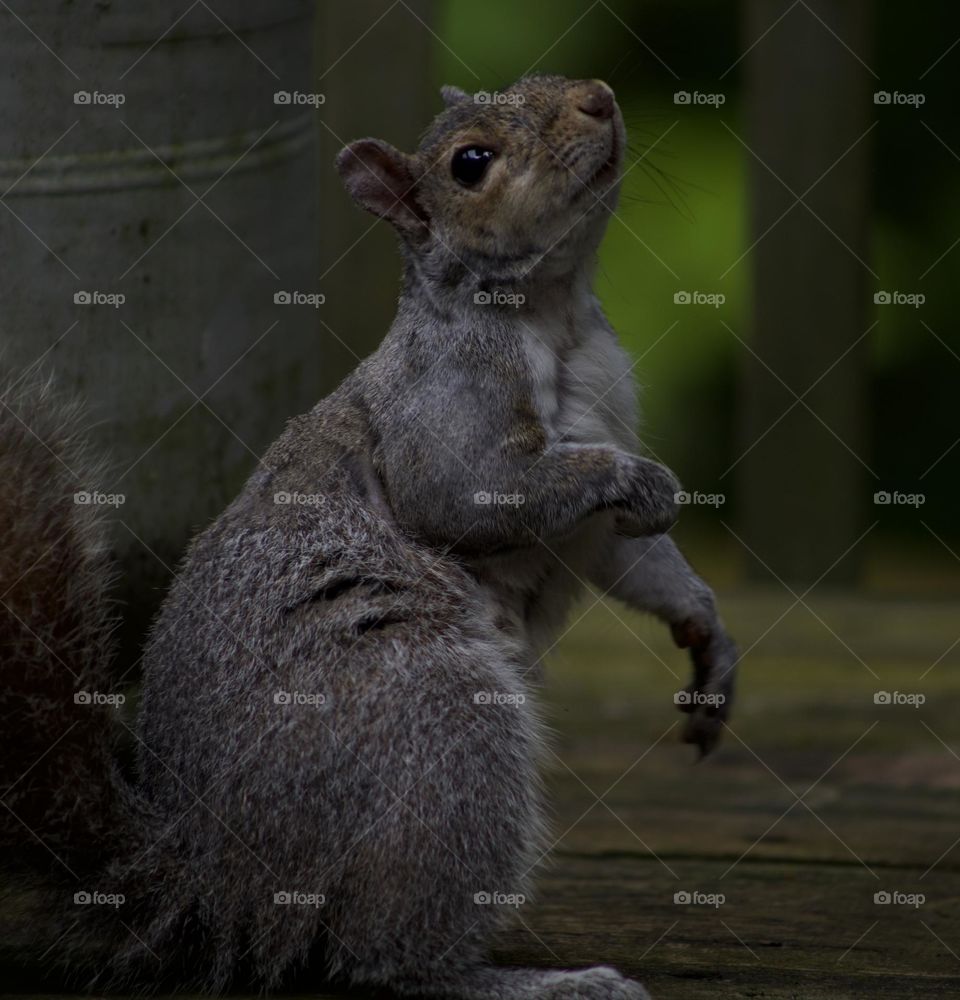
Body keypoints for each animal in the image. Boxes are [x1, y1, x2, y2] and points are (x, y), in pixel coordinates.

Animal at [0, 76, 740, 1000]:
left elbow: (637, 562)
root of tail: (209, 873)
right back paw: (540, 983)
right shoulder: (445, 415)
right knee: (388, 959)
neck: (557, 315)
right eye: (471, 161)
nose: (598, 98)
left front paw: (708, 641)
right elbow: (467, 492)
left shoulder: (596, 515)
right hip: (438, 726)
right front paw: (647, 482)